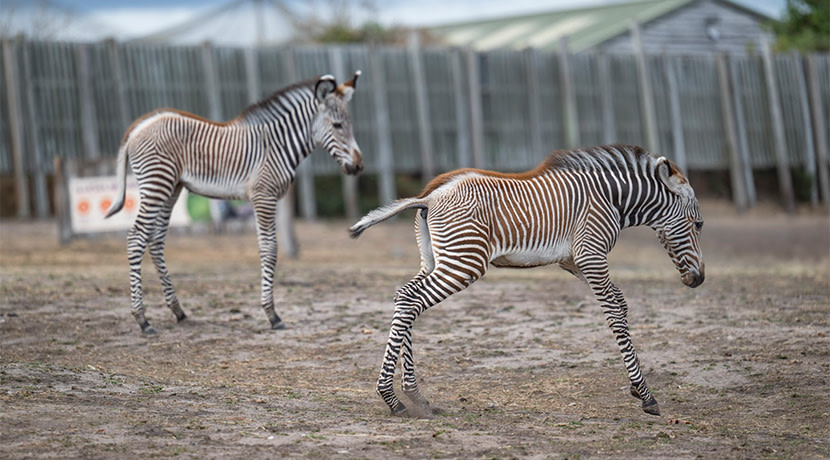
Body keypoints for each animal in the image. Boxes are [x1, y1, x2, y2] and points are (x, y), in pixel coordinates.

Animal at [106, 72, 364, 335]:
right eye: (337, 125)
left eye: (348, 124)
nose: (358, 166)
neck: (277, 146)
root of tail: (140, 125)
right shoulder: (263, 196)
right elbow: (269, 249)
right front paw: (272, 315)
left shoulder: (268, 198)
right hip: (157, 185)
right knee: (136, 238)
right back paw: (142, 320)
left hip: (171, 189)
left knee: (156, 240)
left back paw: (178, 311)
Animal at [350, 144, 705, 417]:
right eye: (699, 224)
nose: (699, 279)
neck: (612, 200)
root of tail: (429, 196)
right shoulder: (591, 256)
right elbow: (615, 313)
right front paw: (645, 395)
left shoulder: (574, 261)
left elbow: (620, 302)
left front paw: (634, 387)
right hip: (464, 261)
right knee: (411, 299)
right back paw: (393, 397)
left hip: (435, 259)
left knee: (406, 297)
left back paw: (414, 397)